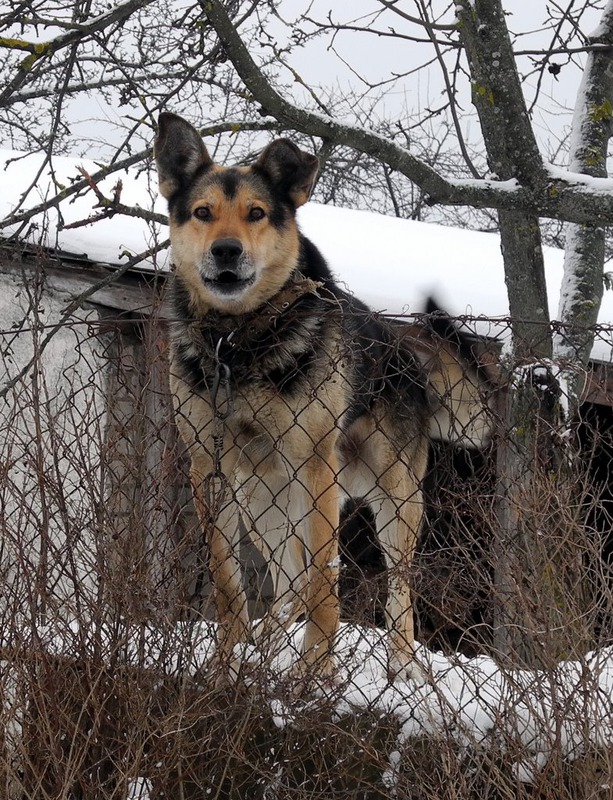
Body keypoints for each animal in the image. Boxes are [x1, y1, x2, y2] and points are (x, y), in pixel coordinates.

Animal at [154, 112, 492, 684]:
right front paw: (225, 664)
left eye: (257, 214)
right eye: (202, 213)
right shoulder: (210, 468)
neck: (240, 341)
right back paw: (264, 645)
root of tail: (403, 349)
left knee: (395, 586)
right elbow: (227, 581)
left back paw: (403, 664)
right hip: (262, 499)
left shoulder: (313, 467)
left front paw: (316, 669)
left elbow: (323, 585)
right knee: (288, 581)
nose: (226, 251)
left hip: (393, 498)